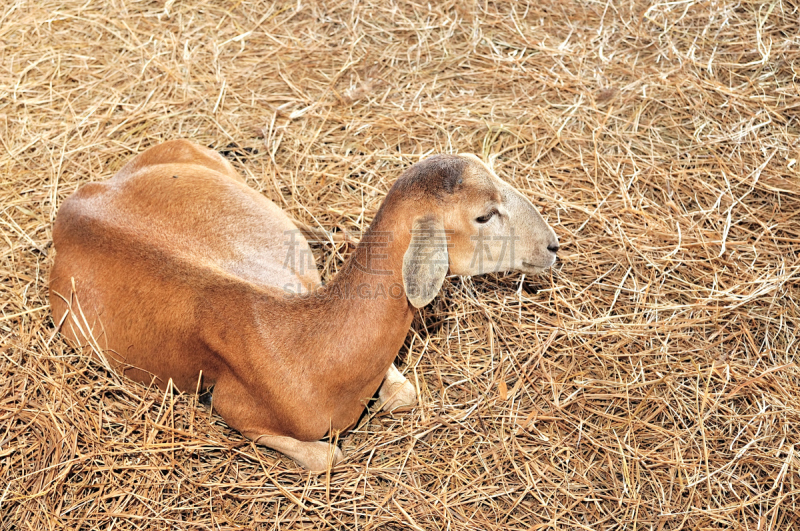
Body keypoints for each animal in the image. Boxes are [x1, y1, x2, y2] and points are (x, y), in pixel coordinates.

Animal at [50, 139, 560, 472]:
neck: (305, 340)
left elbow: (403, 394)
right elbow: (328, 456)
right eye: (484, 215)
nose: (553, 246)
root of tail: (78, 201)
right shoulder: (234, 407)